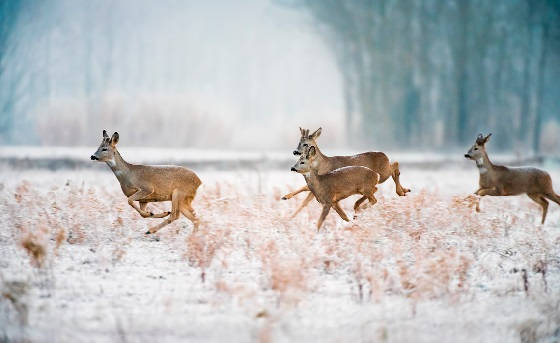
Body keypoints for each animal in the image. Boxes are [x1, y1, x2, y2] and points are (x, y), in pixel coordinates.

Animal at [282, 127, 410, 219]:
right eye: (299, 142)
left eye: (305, 144)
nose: (295, 151)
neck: (322, 164)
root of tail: (384, 154)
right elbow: (304, 190)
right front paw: (286, 197)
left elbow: (305, 199)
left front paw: (290, 216)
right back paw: (404, 190)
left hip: (383, 173)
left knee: (395, 165)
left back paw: (401, 192)